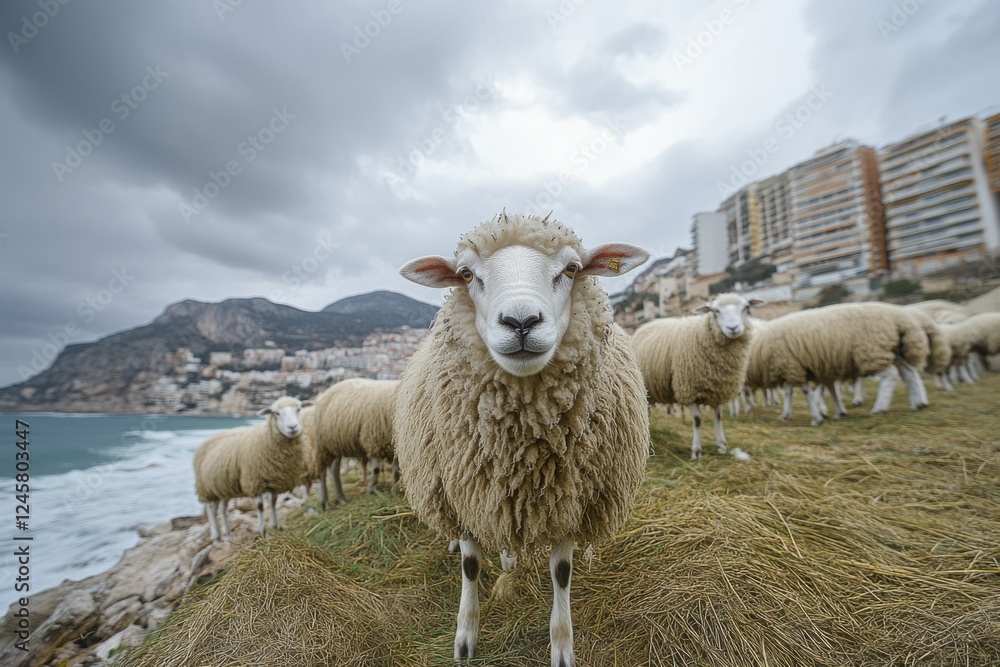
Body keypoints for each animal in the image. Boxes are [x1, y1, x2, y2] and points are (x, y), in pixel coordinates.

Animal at [193, 396, 310, 541]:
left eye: (298, 409)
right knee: (210, 508)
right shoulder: (253, 481)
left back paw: (227, 534)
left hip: (224, 486)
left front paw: (275, 526)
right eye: (276, 413)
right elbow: (260, 507)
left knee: (222, 509)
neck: (266, 439)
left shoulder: (274, 481)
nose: (292, 427)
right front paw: (262, 531)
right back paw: (216, 537)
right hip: (207, 487)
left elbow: (273, 503)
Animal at [306, 378, 399, 509]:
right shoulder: (372, 440)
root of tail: (324, 394)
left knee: (334, 469)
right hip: (323, 445)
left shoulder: (394, 447)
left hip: (336, 444)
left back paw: (341, 499)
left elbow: (396, 471)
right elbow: (376, 469)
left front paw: (395, 489)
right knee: (322, 472)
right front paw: (371, 488)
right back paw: (325, 502)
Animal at [394, 212, 650, 665]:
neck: (523, 447)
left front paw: (562, 647)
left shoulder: (570, 498)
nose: (521, 323)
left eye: (572, 269)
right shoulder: (464, 491)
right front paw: (465, 639)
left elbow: (561, 573)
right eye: (466, 274)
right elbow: (470, 566)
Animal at [632, 293, 764, 460]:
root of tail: (648, 323)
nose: (733, 328)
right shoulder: (688, 390)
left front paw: (721, 445)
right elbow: (697, 420)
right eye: (715, 311)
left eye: (746, 307)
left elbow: (718, 416)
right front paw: (696, 451)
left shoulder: (718, 389)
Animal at [745, 302, 929, 425]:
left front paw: (814, 416)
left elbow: (797, 391)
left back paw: (880, 407)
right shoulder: (798, 368)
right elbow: (799, 391)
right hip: (894, 351)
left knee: (890, 376)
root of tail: (901, 318)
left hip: (872, 352)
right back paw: (917, 404)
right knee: (909, 373)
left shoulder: (791, 366)